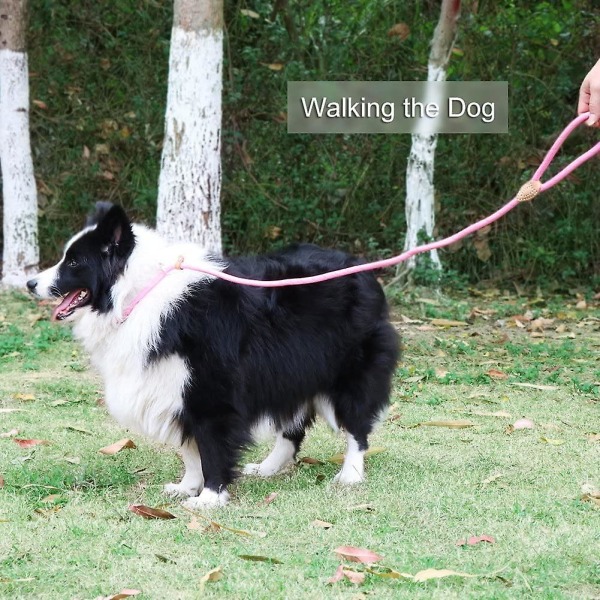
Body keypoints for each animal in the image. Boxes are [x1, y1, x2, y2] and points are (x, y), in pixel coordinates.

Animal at [27, 205, 398, 506]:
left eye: (74, 262)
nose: (30, 283)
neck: (138, 293)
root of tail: (363, 270)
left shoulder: (210, 391)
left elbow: (210, 445)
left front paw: (210, 497)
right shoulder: (171, 389)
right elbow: (190, 449)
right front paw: (187, 487)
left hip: (346, 372)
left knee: (356, 426)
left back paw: (350, 474)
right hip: (291, 372)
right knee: (291, 428)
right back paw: (269, 467)